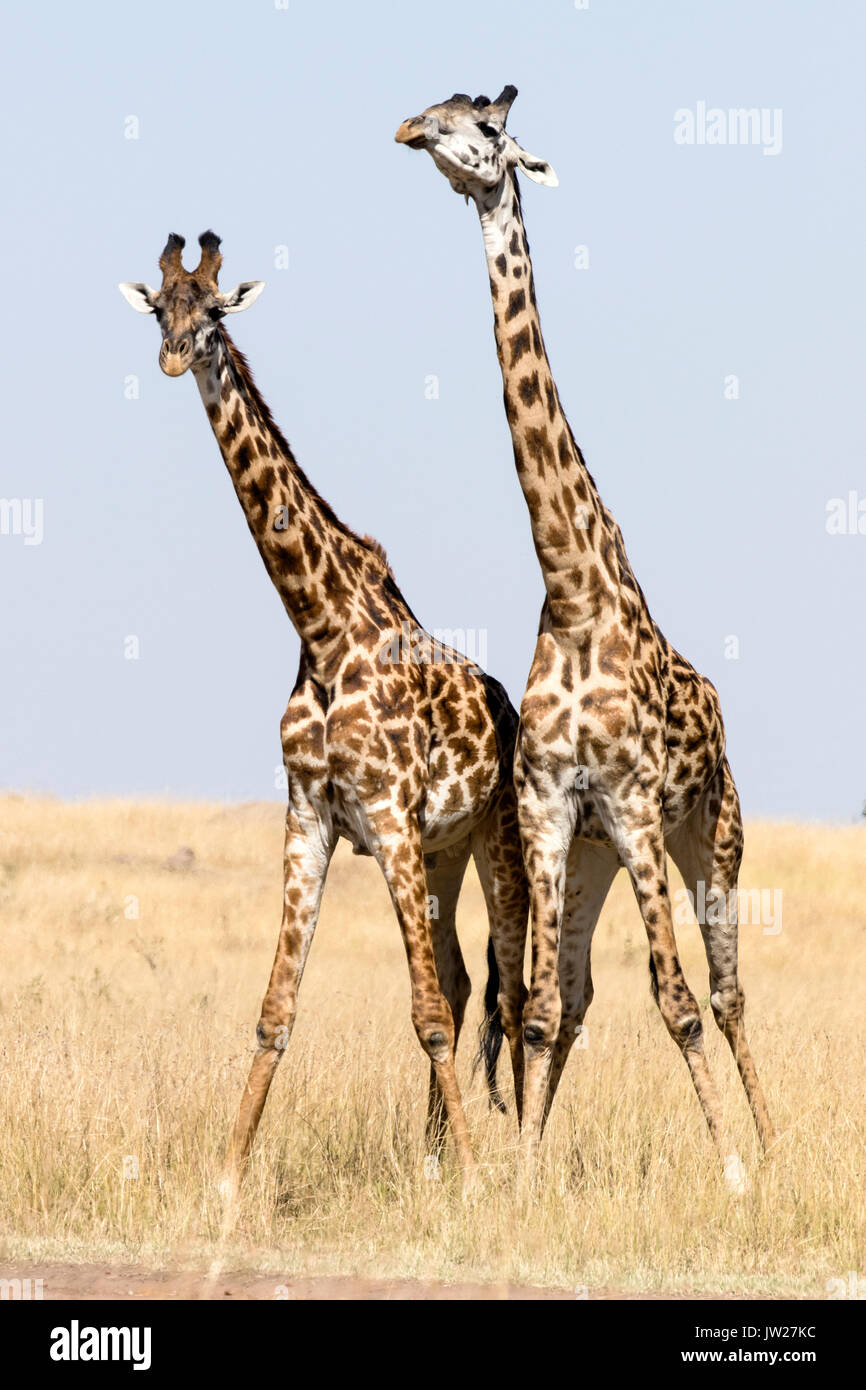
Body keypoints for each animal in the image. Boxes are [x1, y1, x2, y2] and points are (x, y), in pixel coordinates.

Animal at [120, 230, 528, 1195]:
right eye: (160, 309)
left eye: (215, 309)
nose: (174, 357)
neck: (320, 622)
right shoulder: (310, 816)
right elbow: (277, 1008)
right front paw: (227, 1179)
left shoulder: (384, 813)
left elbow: (425, 1011)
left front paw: (475, 1181)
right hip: (440, 849)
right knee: (463, 981)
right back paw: (429, 1157)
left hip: (494, 839)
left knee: (509, 986)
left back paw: (509, 1150)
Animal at [397, 89, 778, 1195]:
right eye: (437, 110)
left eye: (484, 128)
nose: (411, 130)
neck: (570, 591)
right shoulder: (551, 809)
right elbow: (536, 1007)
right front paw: (523, 1177)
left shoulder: (641, 808)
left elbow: (677, 999)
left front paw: (730, 1170)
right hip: (600, 861)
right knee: (573, 1000)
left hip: (710, 837)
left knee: (726, 992)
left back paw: (772, 1148)